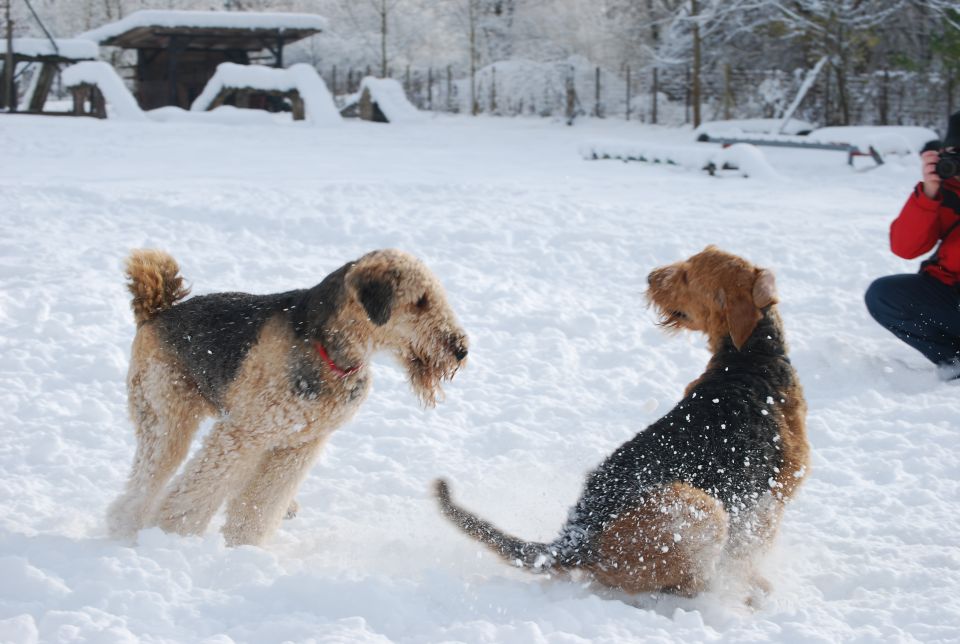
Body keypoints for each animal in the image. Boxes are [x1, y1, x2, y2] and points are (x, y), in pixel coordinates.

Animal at [109, 249, 468, 544]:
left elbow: (261, 503)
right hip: (167, 420)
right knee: (140, 488)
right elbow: (197, 491)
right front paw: (175, 534)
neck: (330, 349)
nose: (460, 350)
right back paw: (125, 532)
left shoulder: (298, 445)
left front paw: (243, 545)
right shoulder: (242, 434)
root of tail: (156, 310)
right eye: (420, 300)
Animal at [438, 247, 808, 600]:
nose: (651, 277)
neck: (749, 359)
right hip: (699, 506)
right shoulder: (770, 500)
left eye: (687, 276)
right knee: (687, 583)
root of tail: (573, 539)